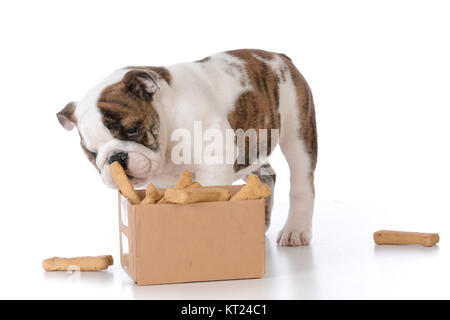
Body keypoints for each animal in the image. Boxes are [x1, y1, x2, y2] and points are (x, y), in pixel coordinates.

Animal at [56, 48, 316, 246]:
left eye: (133, 130)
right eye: (91, 153)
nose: (116, 157)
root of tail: (279, 57)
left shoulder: (214, 161)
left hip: (298, 134)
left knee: (302, 184)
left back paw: (295, 230)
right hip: (250, 149)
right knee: (266, 175)